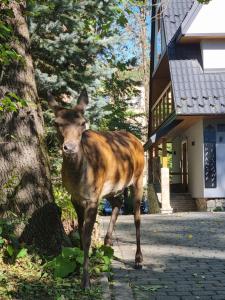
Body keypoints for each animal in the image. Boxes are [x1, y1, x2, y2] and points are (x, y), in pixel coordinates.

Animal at [48, 89, 145, 288]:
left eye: (82, 122)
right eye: (56, 123)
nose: (70, 148)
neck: (80, 177)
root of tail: (137, 141)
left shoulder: (92, 197)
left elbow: (87, 236)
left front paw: (86, 281)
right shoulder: (75, 197)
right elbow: (79, 232)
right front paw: (79, 268)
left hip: (138, 176)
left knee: (137, 216)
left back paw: (138, 259)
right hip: (109, 189)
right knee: (118, 202)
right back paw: (107, 245)